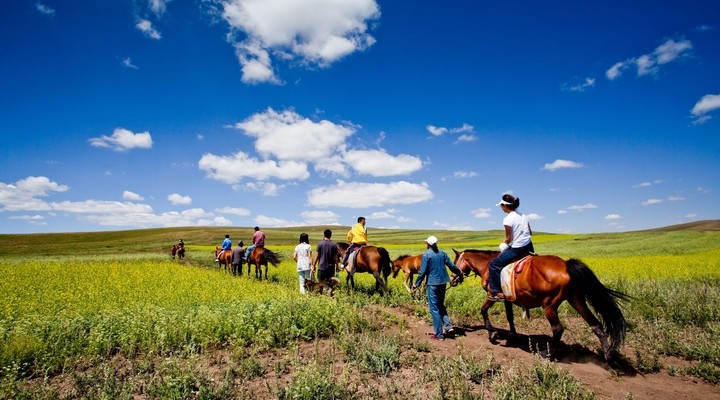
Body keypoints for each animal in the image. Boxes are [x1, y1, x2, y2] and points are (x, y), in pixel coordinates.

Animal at [452, 248, 628, 360]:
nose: (452, 280)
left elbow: (483, 310)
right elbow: (510, 317)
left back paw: (547, 354)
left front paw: (492, 334)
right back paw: (608, 355)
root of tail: (566, 265)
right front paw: (512, 336)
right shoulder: (508, 299)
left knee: (558, 329)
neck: (488, 265)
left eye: (454, 263)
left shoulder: (491, 295)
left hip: (549, 306)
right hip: (576, 300)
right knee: (596, 324)